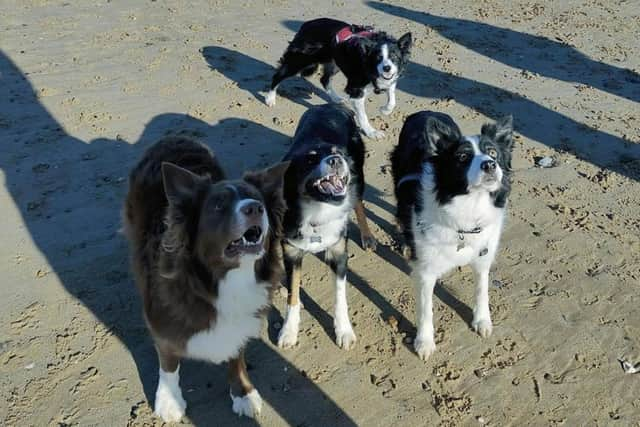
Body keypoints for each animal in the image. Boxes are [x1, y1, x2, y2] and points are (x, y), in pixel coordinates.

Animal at [266, 18, 412, 140]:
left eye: (394, 57)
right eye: (378, 58)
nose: (387, 68)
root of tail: (307, 24)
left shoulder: (390, 77)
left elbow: (392, 96)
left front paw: (385, 110)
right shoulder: (356, 90)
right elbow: (363, 116)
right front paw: (371, 132)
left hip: (334, 63)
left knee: (324, 79)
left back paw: (335, 98)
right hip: (300, 60)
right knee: (278, 76)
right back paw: (270, 99)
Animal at [276, 103, 376, 352]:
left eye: (336, 152)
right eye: (310, 161)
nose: (336, 159)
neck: (317, 211)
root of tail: (331, 104)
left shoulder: (339, 254)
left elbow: (340, 297)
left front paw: (344, 331)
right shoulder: (291, 254)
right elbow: (293, 295)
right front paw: (289, 331)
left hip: (358, 174)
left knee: (358, 202)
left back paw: (367, 236)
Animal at [390, 113, 516, 362]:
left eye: (493, 152)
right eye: (463, 156)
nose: (490, 164)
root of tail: (424, 112)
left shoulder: (483, 255)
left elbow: (482, 289)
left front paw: (482, 320)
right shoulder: (427, 270)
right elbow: (426, 308)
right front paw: (424, 342)